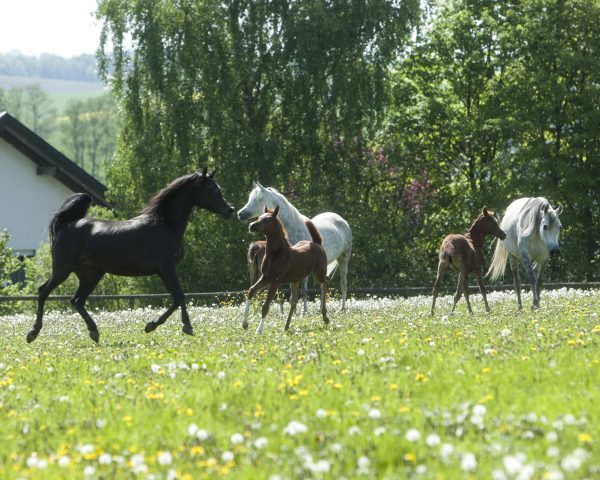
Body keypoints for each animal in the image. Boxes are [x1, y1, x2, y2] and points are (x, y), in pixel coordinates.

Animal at [28, 167, 234, 344]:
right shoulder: (166, 267)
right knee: (43, 292)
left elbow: (176, 298)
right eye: (210, 189)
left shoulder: (163, 271)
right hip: (63, 270)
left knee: (77, 301)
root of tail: (65, 225)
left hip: (90, 275)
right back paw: (33, 332)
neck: (165, 224)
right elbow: (180, 296)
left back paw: (94, 332)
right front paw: (186, 326)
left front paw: (150, 326)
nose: (230, 210)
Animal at [238, 181, 354, 316]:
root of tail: (341, 220)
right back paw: (321, 307)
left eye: (258, 199)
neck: (293, 228)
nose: (240, 214)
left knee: (343, 284)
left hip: (343, 259)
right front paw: (293, 312)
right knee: (323, 285)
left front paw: (304, 312)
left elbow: (303, 290)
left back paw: (343, 308)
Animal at [241, 205, 330, 334]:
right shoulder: (265, 278)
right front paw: (245, 324)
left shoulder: (275, 282)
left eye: (267, 219)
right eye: (259, 217)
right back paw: (286, 326)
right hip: (295, 280)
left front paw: (259, 330)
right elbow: (251, 290)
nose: (251, 225)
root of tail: (317, 244)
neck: (276, 254)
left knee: (325, 283)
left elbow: (265, 307)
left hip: (318, 273)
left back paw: (325, 316)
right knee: (294, 300)